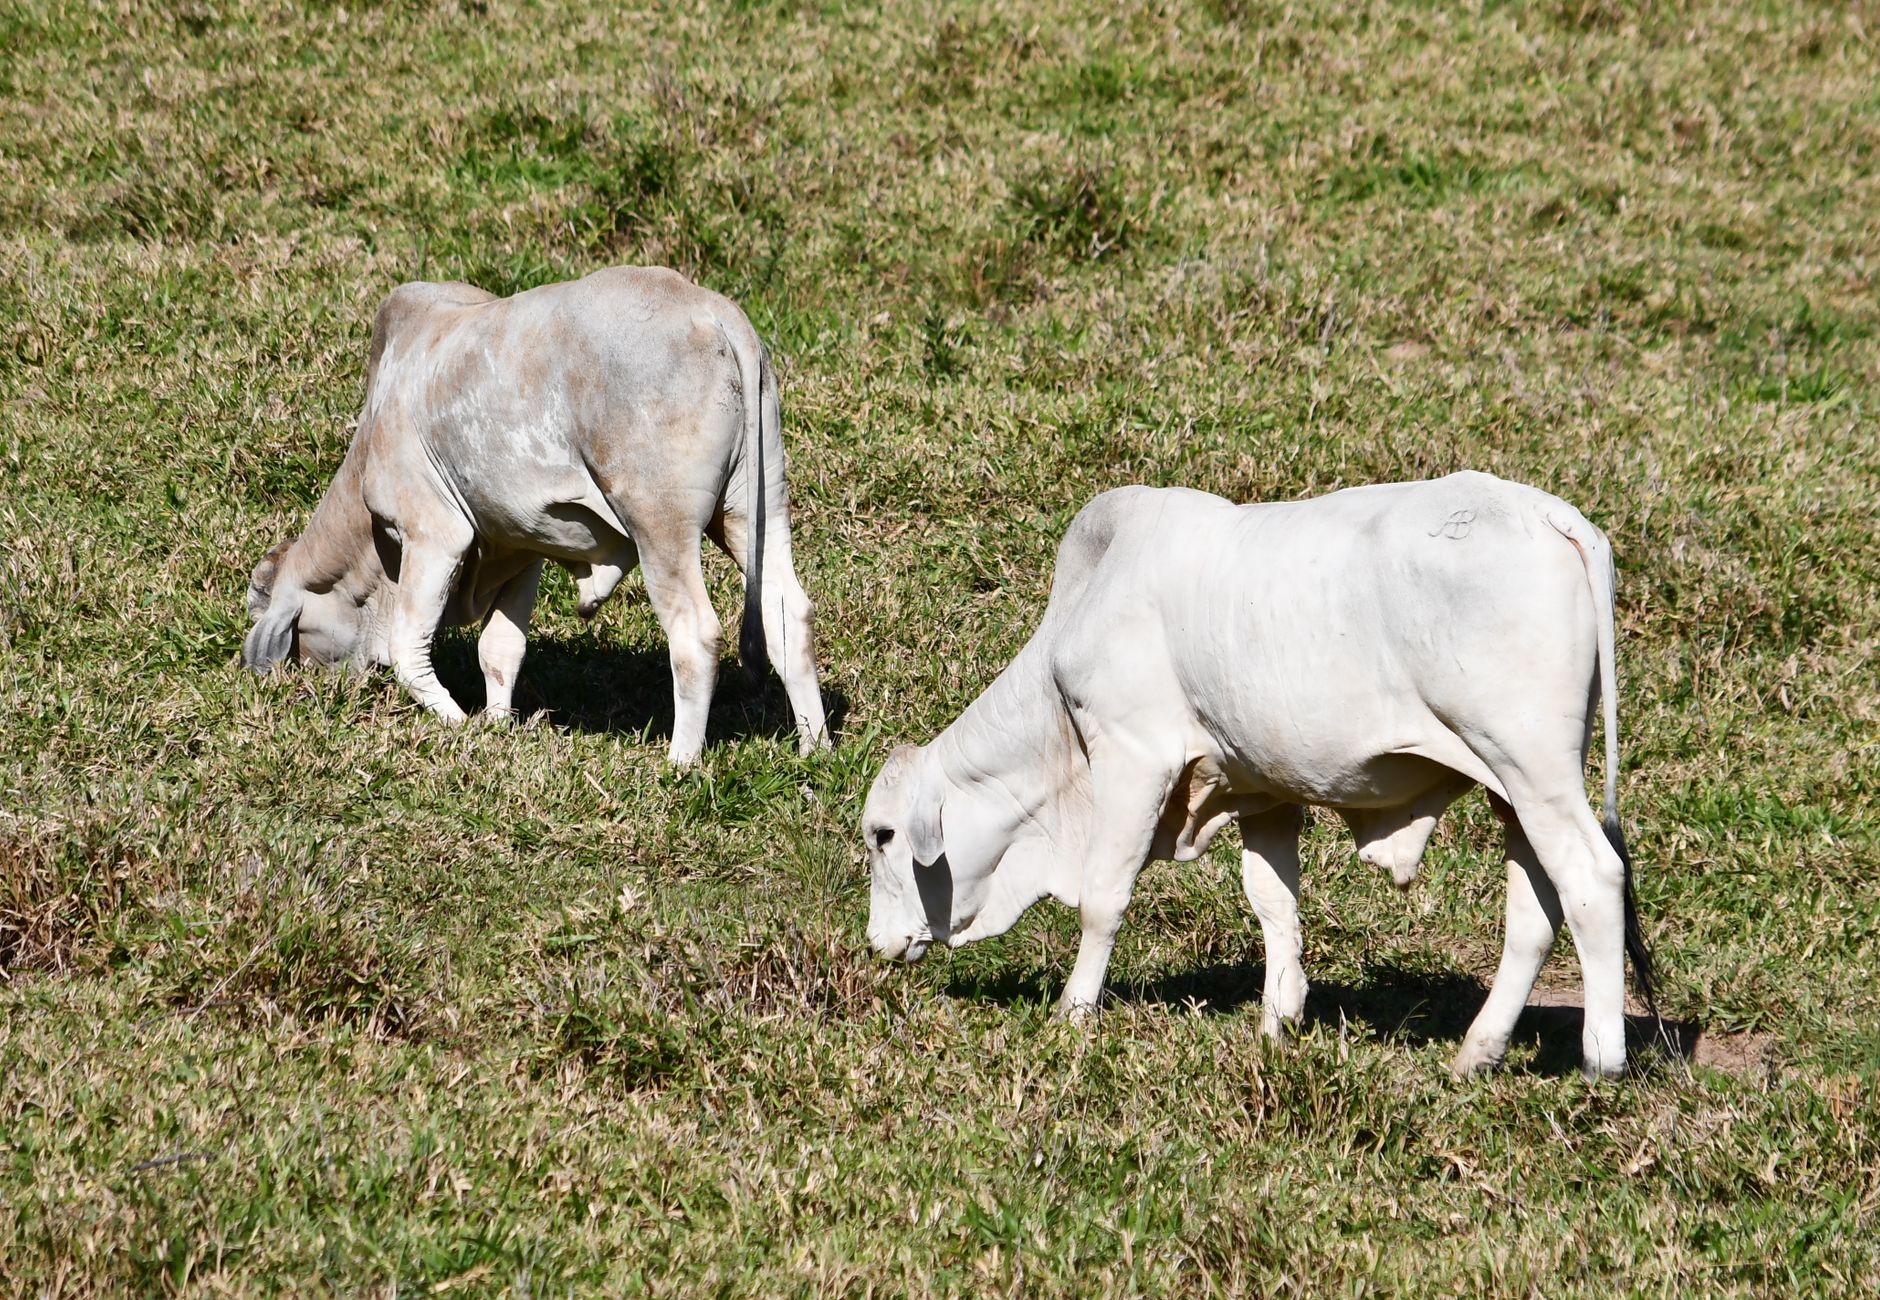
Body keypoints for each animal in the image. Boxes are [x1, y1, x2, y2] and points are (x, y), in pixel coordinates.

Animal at [242, 266, 828, 763]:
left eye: (294, 629)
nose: (317, 685)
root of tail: (713, 311)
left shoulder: (434, 531)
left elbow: (410, 648)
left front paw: (461, 725)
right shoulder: (520, 546)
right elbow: (500, 649)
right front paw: (497, 725)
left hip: (661, 522)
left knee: (696, 635)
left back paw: (680, 763)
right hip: (755, 508)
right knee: (788, 615)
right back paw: (815, 749)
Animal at [863, 473, 1656, 1078]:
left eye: (882, 835)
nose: (877, 943)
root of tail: (1551, 515)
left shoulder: (1134, 756)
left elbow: (1102, 898)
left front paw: (1073, 1014)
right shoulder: (1262, 788)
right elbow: (1275, 903)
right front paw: (1279, 1019)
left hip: (1531, 765)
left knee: (1592, 879)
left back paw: (1602, 1061)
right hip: (1510, 787)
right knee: (1535, 906)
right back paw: (1476, 1053)